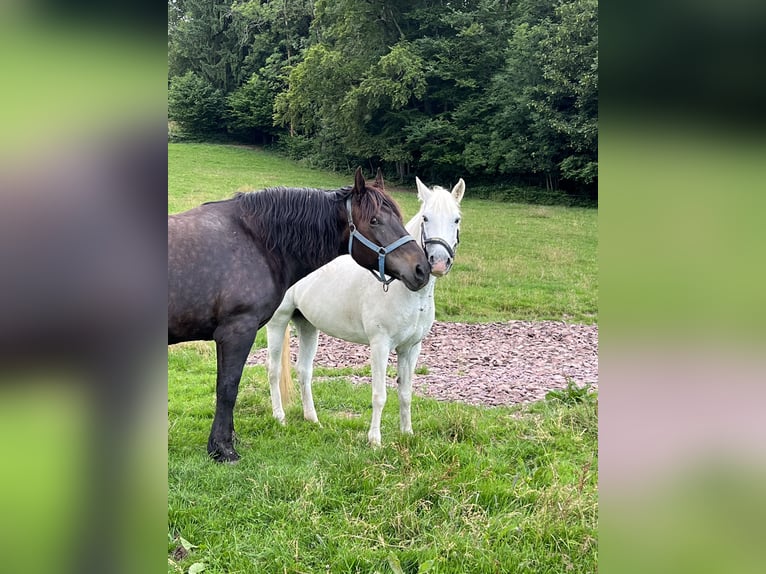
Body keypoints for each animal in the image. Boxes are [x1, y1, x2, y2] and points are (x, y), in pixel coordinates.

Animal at [170, 168, 428, 464]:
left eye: (399, 217)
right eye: (374, 220)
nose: (421, 268)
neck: (255, 240)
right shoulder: (236, 332)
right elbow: (227, 388)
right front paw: (222, 448)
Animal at [268, 178, 464, 448]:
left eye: (456, 219)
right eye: (426, 217)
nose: (436, 263)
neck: (406, 291)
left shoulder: (411, 348)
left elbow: (405, 393)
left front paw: (407, 433)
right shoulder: (380, 345)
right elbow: (379, 394)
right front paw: (375, 441)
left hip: (307, 325)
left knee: (304, 371)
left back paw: (312, 419)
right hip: (278, 322)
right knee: (273, 370)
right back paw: (279, 417)